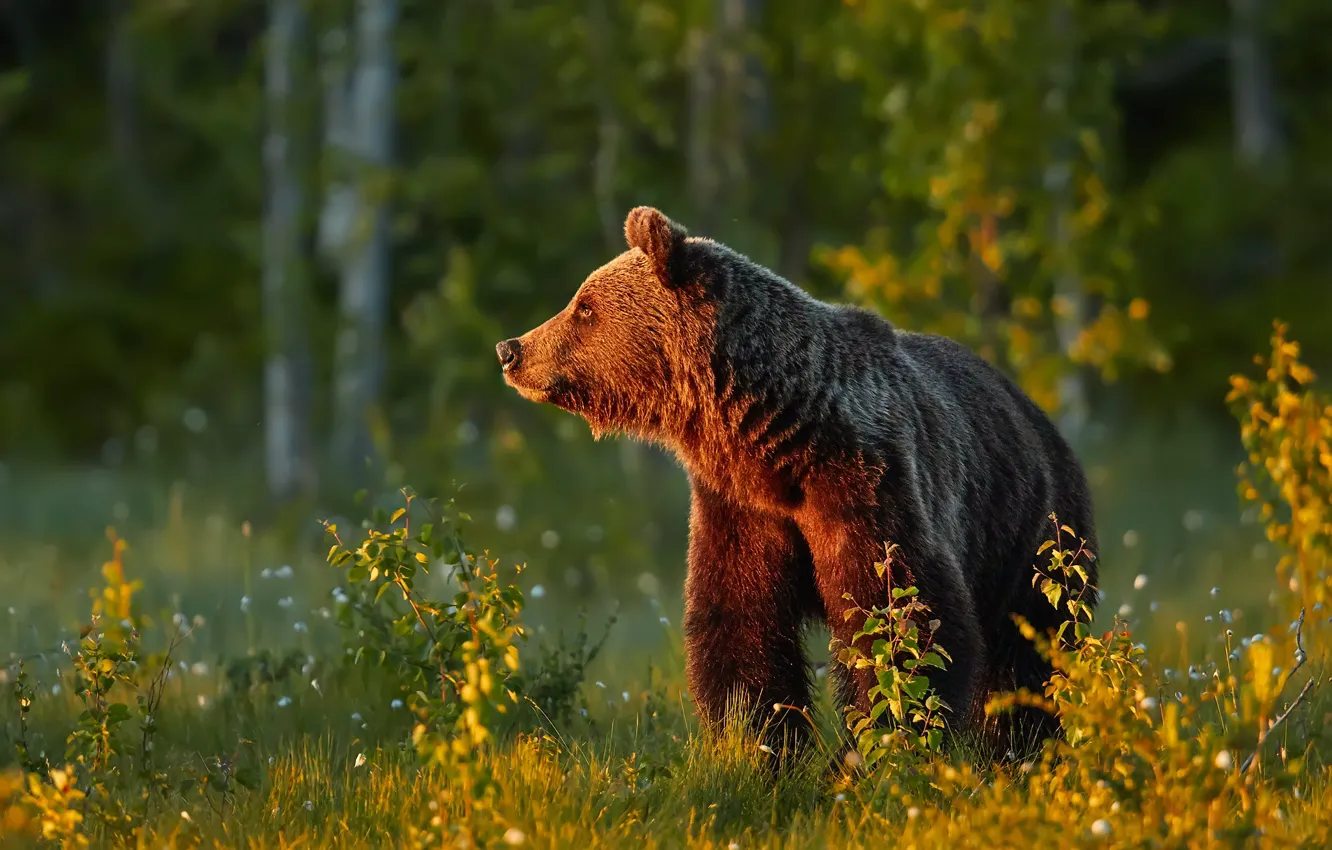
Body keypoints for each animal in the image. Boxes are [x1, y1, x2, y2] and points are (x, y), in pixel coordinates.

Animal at [497, 206, 1098, 758]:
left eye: (584, 307)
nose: (512, 350)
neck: (775, 437)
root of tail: (1039, 415)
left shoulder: (865, 483)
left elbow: (900, 615)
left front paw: (879, 747)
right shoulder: (740, 505)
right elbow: (740, 623)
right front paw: (757, 742)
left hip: (1034, 533)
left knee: (1035, 647)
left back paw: (1020, 743)